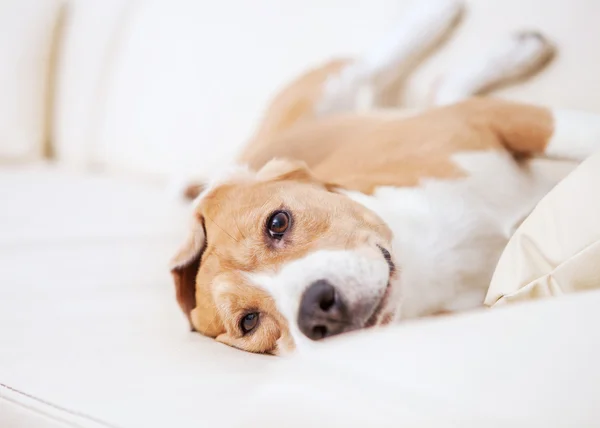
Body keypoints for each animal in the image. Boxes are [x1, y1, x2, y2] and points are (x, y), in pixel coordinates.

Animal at [168, 0, 600, 354]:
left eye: (277, 222)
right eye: (249, 322)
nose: (316, 311)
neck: (424, 258)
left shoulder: (496, 118)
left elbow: (578, 132)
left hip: (329, 93)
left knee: (370, 67)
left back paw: (442, 19)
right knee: (440, 88)